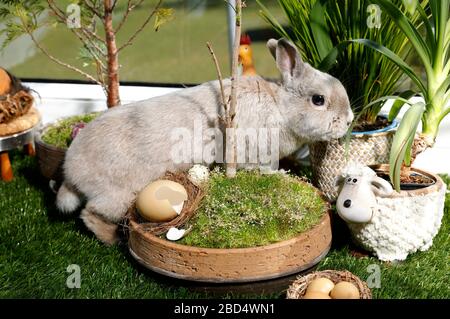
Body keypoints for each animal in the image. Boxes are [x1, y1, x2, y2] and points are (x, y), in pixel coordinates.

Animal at [56, 39, 354, 245]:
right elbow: (261, 169)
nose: (349, 120)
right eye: (318, 100)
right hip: (117, 196)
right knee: (90, 214)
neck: (280, 106)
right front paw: (278, 175)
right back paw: (112, 239)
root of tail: (71, 173)